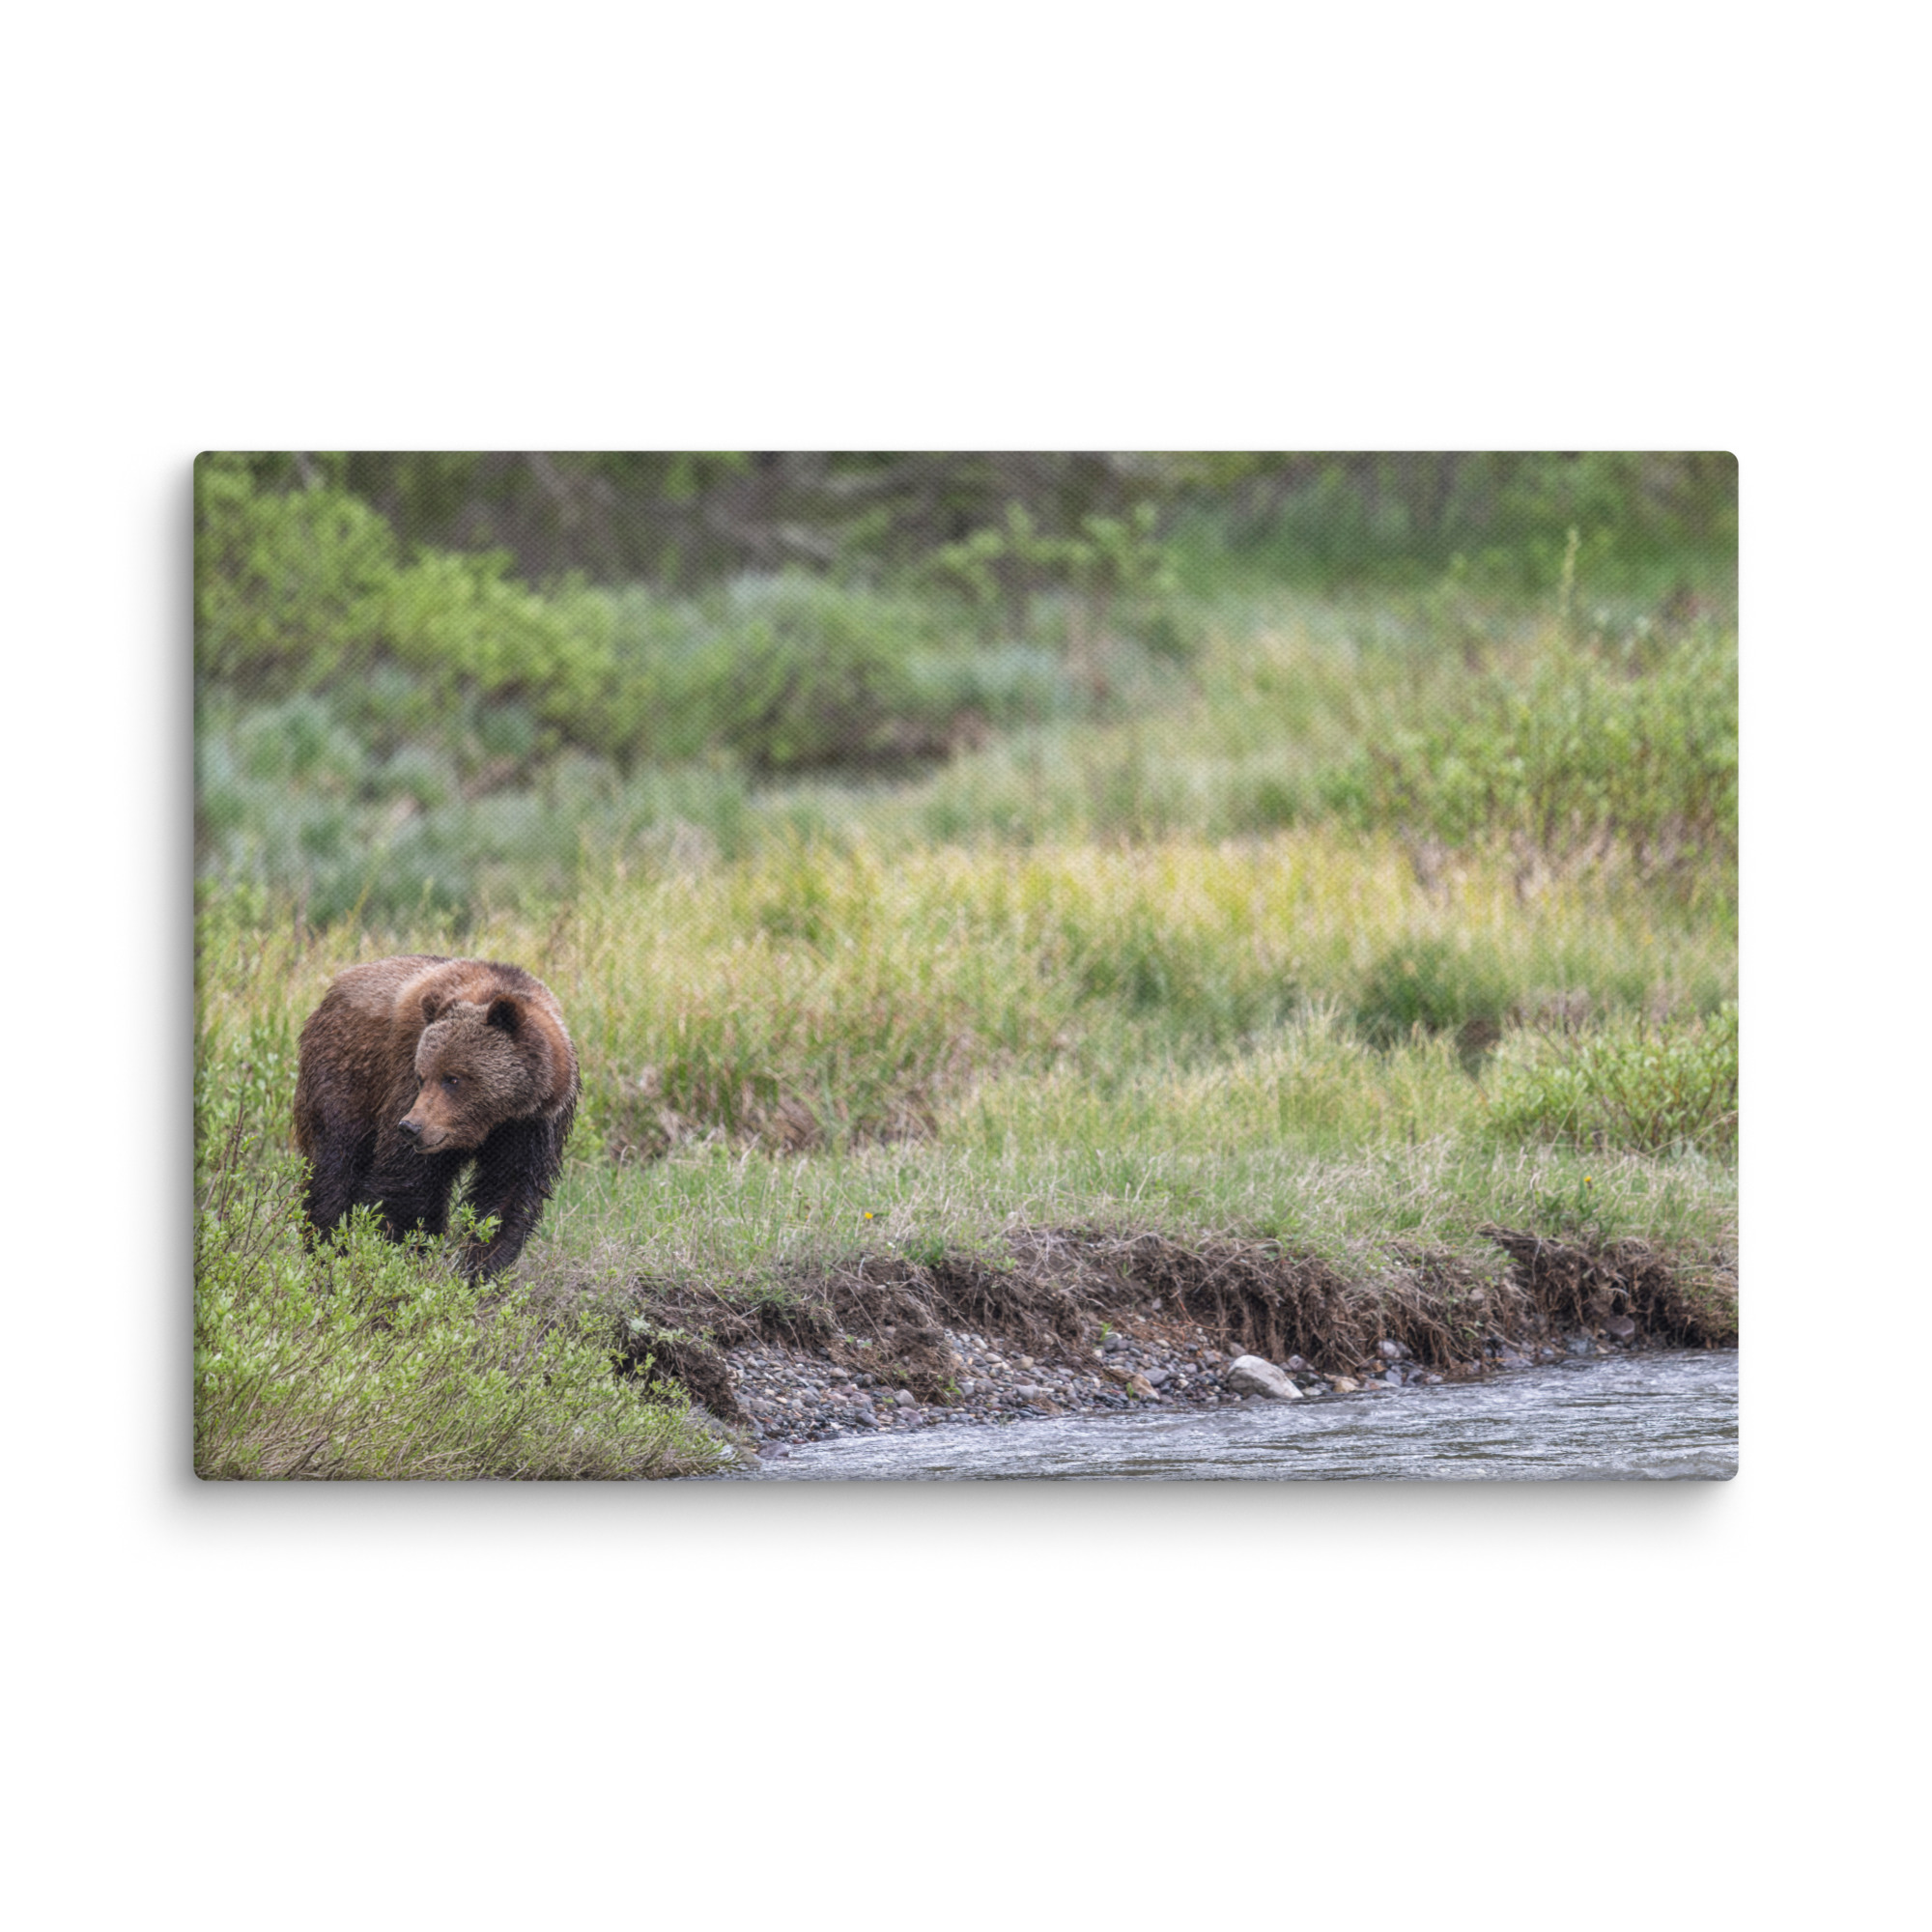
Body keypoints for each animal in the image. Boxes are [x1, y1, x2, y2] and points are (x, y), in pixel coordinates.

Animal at [293, 955, 579, 1279]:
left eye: (453, 1078)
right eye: (422, 1076)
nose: (411, 1127)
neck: (494, 1119)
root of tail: (334, 988)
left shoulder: (532, 1126)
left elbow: (507, 1194)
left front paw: (480, 1268)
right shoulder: (404, 1080)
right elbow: (408, 1184)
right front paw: (403, 1255)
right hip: (347, 1075)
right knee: (335, 1164)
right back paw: (327, 1250)